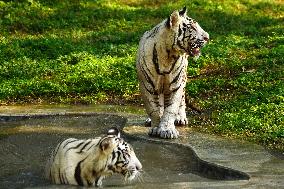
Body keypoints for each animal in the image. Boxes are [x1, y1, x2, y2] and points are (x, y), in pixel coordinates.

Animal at [136, 6, 210, 139]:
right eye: (192, 27)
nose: (208, 37)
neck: (167, 55)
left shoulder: (176, 85)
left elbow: (171, 108)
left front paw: (167, 130)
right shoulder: (147, 86)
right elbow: (153, 108)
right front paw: (156, 127)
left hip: (183, 78)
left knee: (181, 99)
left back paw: (180, 118)